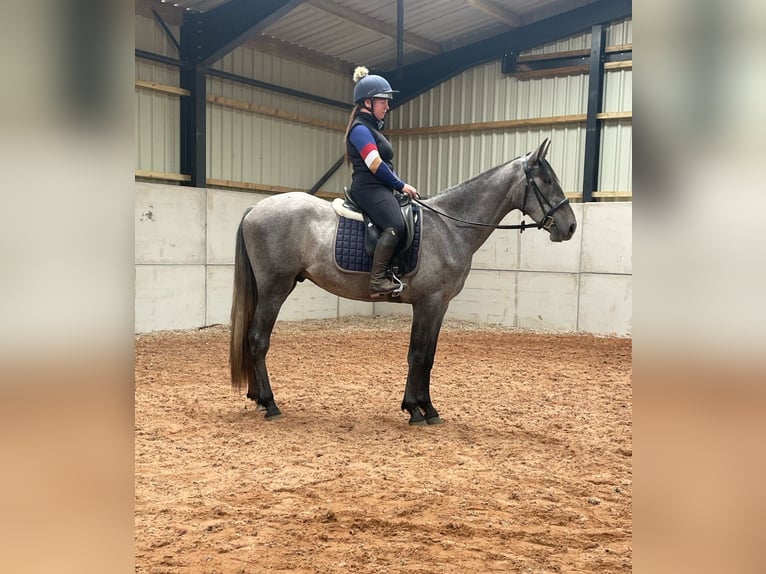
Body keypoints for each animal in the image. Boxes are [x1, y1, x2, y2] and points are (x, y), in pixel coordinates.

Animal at [229, 138, 577, 425]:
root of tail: (256, 207)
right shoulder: (428, 303)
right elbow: (418, 355)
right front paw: (415, 410)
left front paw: (427, 408)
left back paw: (258, 398)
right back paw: (270, 404)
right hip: (275, 288)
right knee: (258, 339)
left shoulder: (439, 306)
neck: (449, 227)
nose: (570, 226)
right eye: (546, 180)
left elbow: (428, 356)